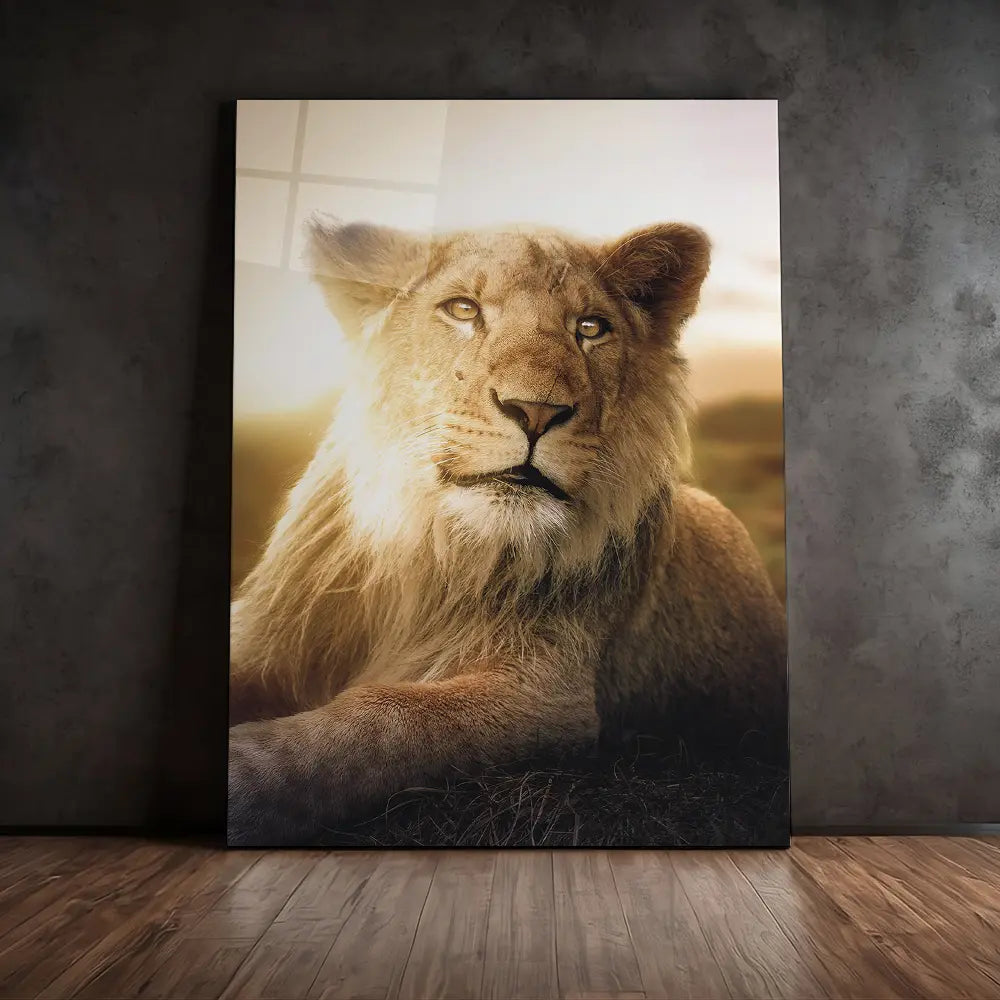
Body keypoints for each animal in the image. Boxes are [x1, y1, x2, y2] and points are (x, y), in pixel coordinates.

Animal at [227, 217, 787, 845]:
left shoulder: (550, 695)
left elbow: (386, 718)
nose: (536, 412)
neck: (433, 550)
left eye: (590, 327)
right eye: (463, 309)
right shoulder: (266, 632)